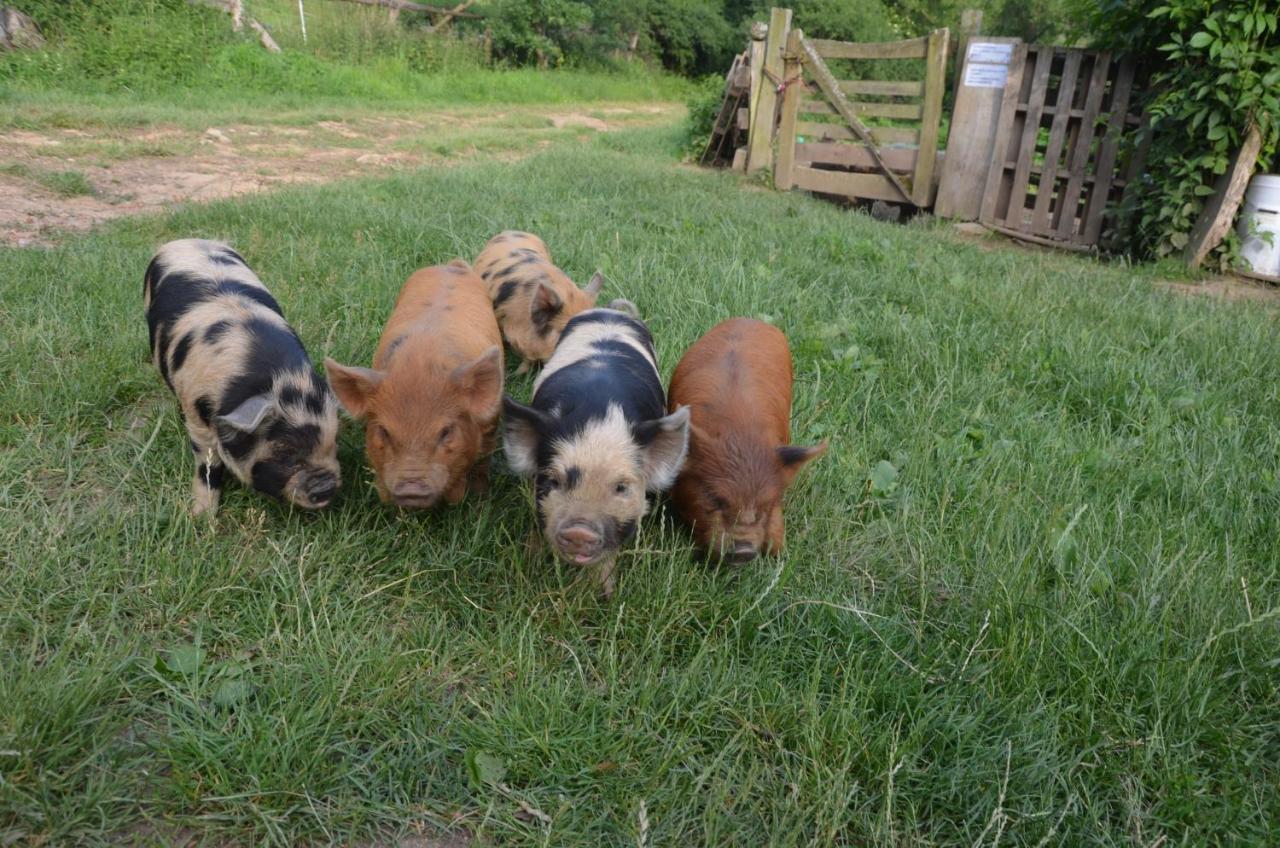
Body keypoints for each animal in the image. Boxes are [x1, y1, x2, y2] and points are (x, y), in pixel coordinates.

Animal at [144, 240, 340, 517]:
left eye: (334, 441)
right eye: (284, 450)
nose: (326, 488)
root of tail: (185, 240)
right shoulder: (197, 414)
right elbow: (207, 464)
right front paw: (202, 518)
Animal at [322, 262, 501, 507]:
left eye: (446, 431)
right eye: (384, 431)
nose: (411, 489)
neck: (420, 363)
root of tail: (450, 264)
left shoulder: (491, 423)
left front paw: (480, 499)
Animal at [499, 307, 691, 596]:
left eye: (621, 487)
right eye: (553, 481)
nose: (579, 531)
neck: (598, 419)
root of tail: (611, 310)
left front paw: (605, 595)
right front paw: (530, 563)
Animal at [665, 318, 824, 563]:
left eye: (765, 504)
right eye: (715, 499)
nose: (744, 551)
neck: (739, 435)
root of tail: (749, 319)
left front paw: (779, 554)